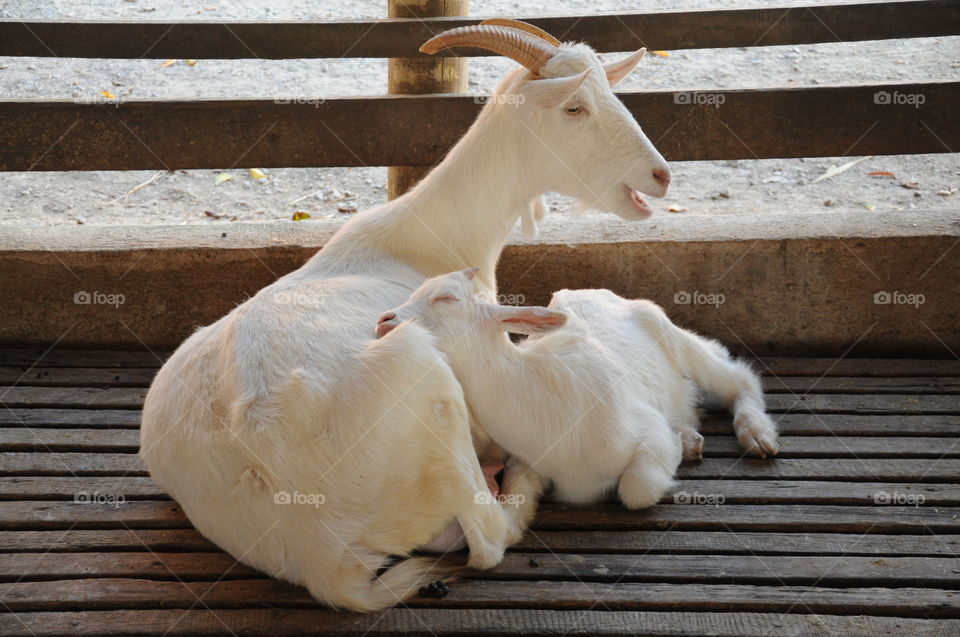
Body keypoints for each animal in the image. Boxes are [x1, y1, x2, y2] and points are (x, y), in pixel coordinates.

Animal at [140, 20, 671, 612]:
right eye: (575, 107)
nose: (661, 176)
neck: (424, 236)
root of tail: (320, 555)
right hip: (430, 388)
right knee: (487, 538)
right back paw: (521, 484)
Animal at [377, 270, 779, 509]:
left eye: (446, 298)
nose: (384, 321)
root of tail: (586, 290)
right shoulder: (527, 461)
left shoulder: (644, 429)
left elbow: (637, 488)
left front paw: (677, 451)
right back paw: (691, 436)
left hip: (671, 334)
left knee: (736, 376)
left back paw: (757, 435)